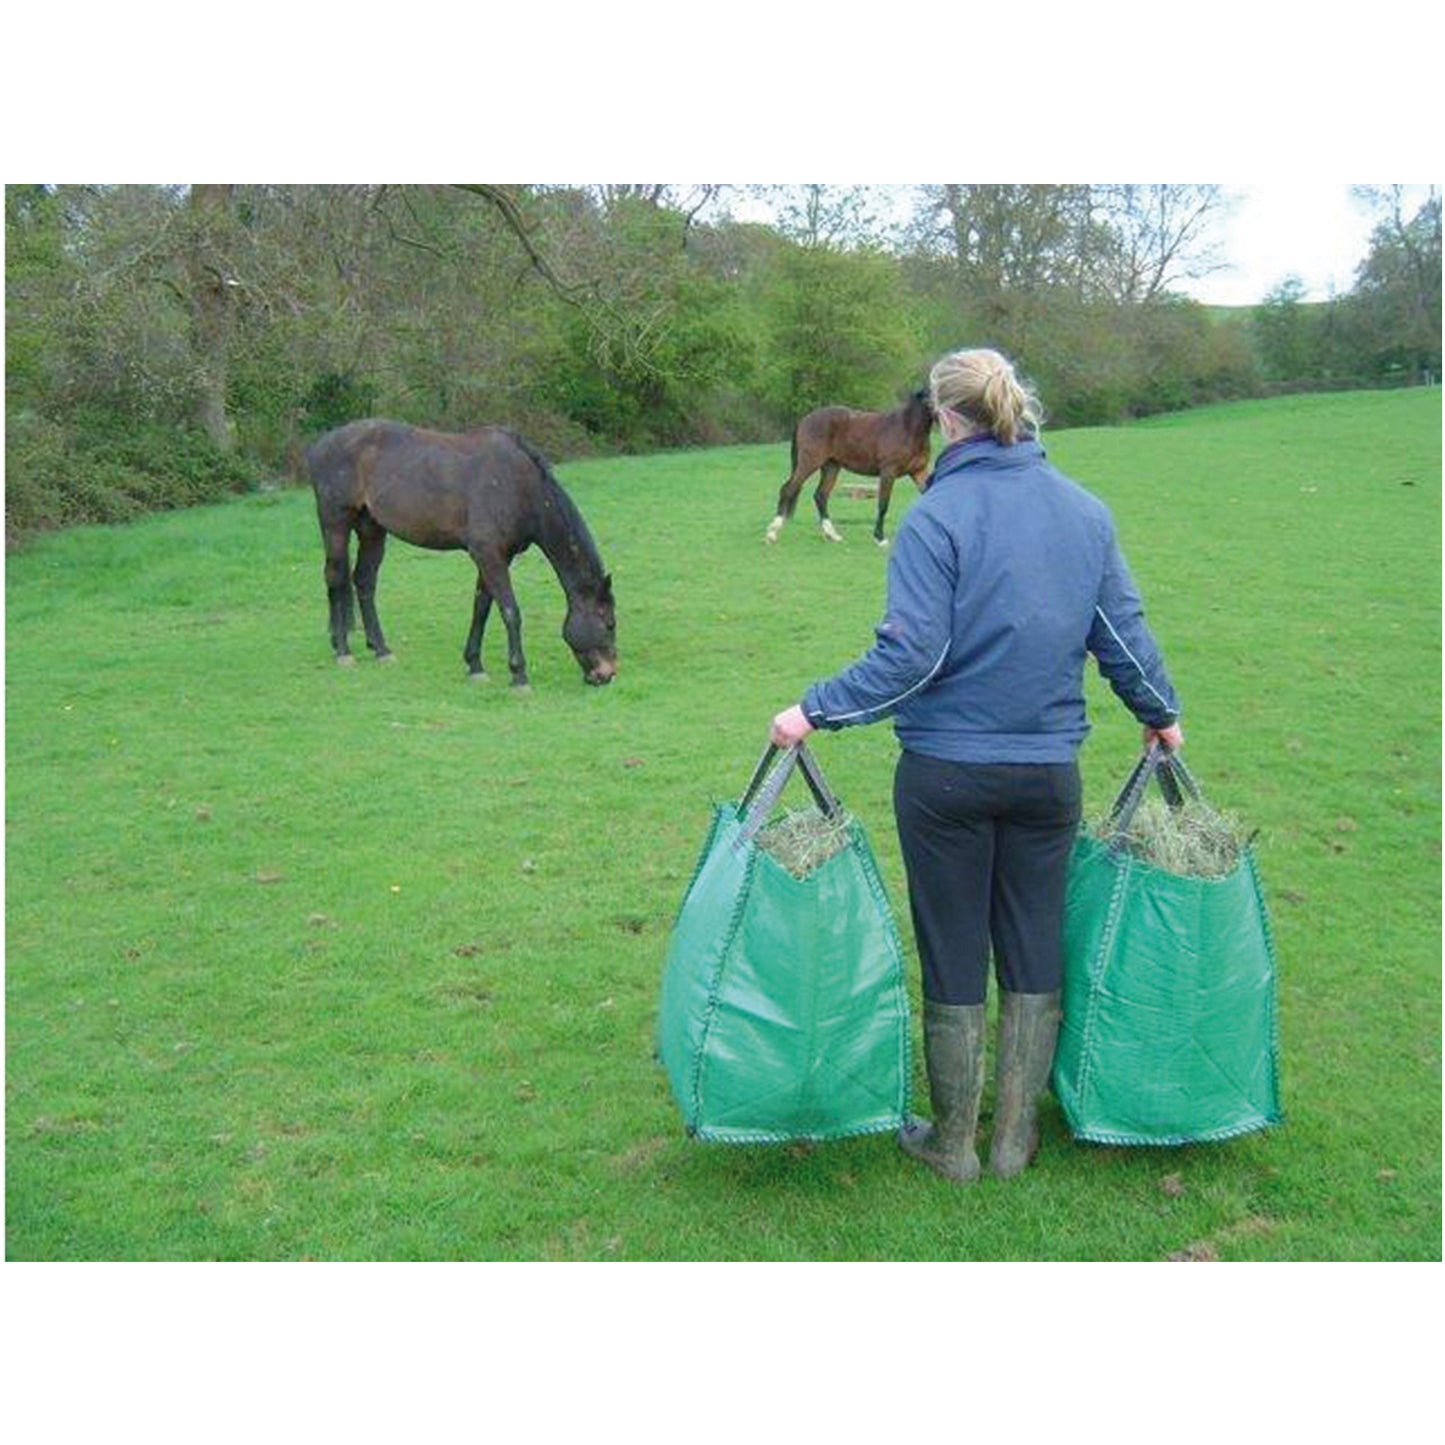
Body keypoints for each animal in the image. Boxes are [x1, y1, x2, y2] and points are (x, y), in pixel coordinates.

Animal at [304, 419, 615, 687]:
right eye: (609, 624)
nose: (607, 674)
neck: (518, 486)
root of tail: (319, 445)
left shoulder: (496, 558)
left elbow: (482, 607)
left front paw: (475, 665)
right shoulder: (489, 555)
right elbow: (510, 611)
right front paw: (518, 674)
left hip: (371, 527)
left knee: (364, 581)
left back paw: (380, 649)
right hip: (336, 523)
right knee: (335, 577)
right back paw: (343, 651)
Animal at [768, 390, 936, 546]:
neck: (908, 428)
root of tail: (805, 419)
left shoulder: (918, 472)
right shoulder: (888, 472)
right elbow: (883, 505)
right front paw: (880, 538)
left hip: (831, 466)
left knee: (820, 496)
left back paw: (832, 535)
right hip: (809, 463)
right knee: (788, 489)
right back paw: (772, 533)